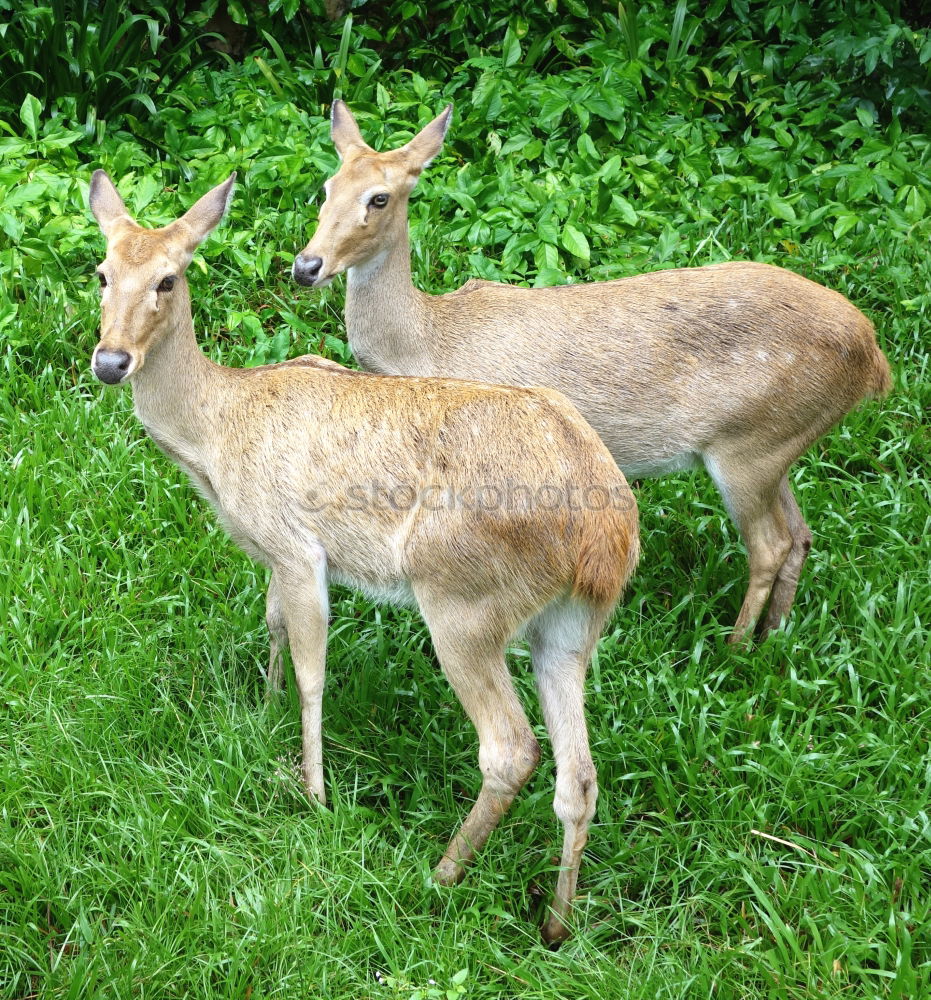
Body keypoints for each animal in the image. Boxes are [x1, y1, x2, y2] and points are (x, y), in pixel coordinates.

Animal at [87, 168, 640, 940]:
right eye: (102, 272)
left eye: (168, 278)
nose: (111, 361)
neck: (216, 433)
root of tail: (606, 537)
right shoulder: (273, 556)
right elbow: (272, 624)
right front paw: (263, 713)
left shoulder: (296, 547)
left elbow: (313, 668)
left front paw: (313, 793)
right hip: (570, 626)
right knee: (579, 774)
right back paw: (555, 922)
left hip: (463, 600)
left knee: (510, 748)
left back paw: (441, 873)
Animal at [294, 101, 892, 644]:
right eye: (326, 187)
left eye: (379, 197)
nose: (306, 265)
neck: (426, 342)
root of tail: (874, 359)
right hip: (777, 444)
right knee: (801, 534)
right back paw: (774, 636)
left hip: (748, 446)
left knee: (770, 544)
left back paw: (735, 647)